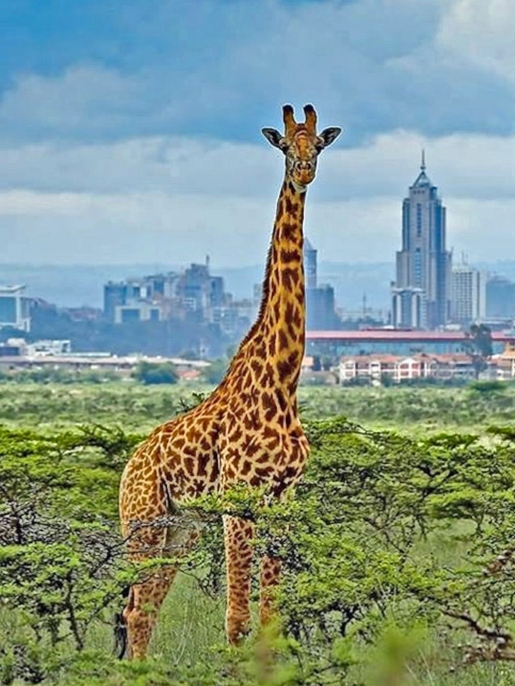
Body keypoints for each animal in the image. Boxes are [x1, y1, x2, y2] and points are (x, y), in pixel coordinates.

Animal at [119, 104, 341, 659]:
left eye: (318, 144)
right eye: (284, 144)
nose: (304, 170)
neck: (282, 380)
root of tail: (128, 468)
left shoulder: (282, 499)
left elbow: (269, 618)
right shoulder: (238, 498)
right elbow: (237, 619)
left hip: (181, 527)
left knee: (146, 609)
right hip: (144, 522)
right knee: (134, 609)